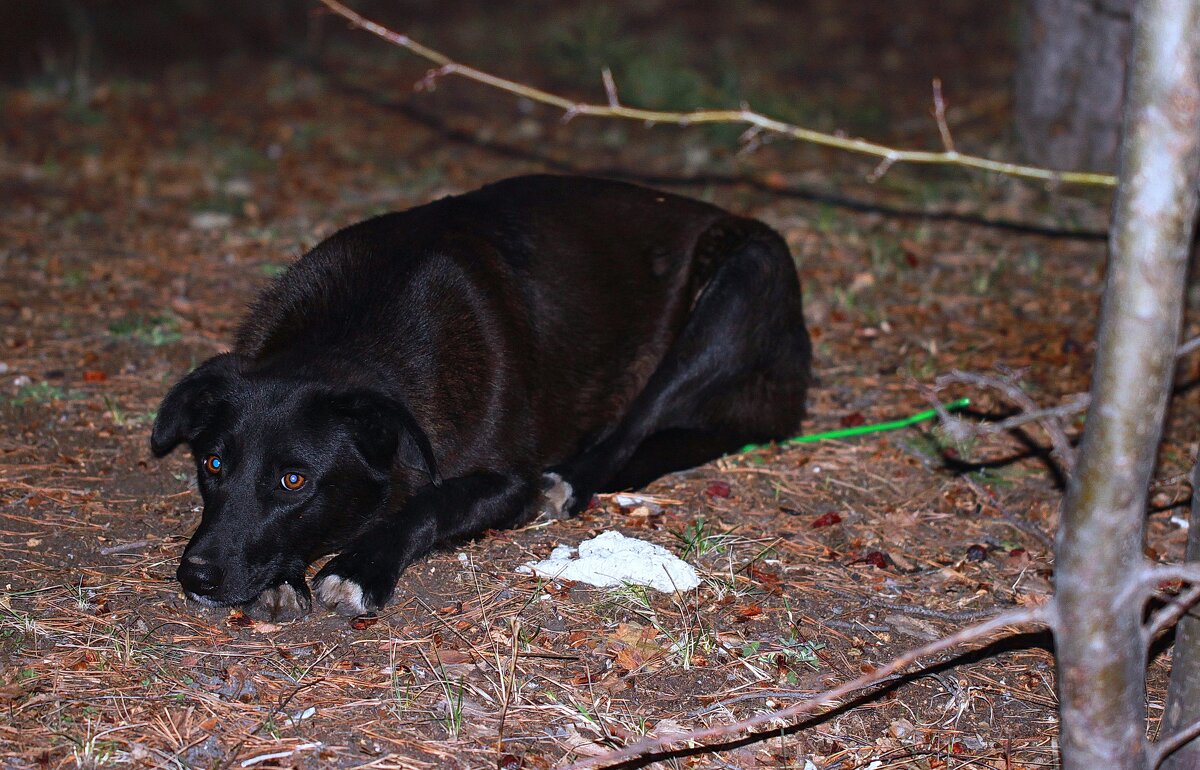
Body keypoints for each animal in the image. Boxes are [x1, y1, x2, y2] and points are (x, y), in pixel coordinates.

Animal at [147, 173, 806, 618]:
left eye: (294, 481)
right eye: (212, 465)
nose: (196, 578)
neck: (352, 331)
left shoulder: (505, 482)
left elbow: (429, 505)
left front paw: (359, 567)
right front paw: (285, 577)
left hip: (743, 278)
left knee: (631, 435)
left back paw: (569, 481)